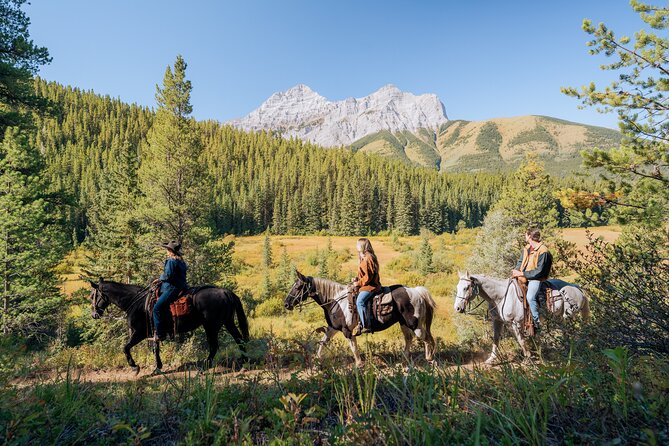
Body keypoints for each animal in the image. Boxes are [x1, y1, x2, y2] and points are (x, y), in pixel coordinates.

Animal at [87, 278, 247, 372]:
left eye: (93, 295)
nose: (94, 314)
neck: (136, 303)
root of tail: (226, 292)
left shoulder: (139, 333)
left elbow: (125, 348)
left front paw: (134, 367)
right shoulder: (154, 333)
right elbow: (155, 349)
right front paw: (158, 367)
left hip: (211, 326)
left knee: (214, 345)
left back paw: (205, 366)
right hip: (227, 322)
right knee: (239, 339)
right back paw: (243, 360)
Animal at [284, 270, 436, 368]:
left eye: (298, 287)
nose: (286, 304)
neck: (336, 301)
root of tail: (416, 291)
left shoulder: (347, 330)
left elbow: (353, 347)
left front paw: (359, 364)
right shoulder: (332, 328)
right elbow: (323, 342)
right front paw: (316, 362)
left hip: (414, 323)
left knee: (425, 338)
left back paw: (429, 359)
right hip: (403, 323)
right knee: (409, 339)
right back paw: (403, 361)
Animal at [454, 270, 588, 364]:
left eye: (466, 288)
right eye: (457, 287)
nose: (457, 308)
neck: (500, 296)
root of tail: (577, 287)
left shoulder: (516, 323)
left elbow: (521, 340)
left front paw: (527, 358)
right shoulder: (497, 321)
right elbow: (496, 340)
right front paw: (491, 359)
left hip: (569, 316)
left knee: (572, 331)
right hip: (561, 318)